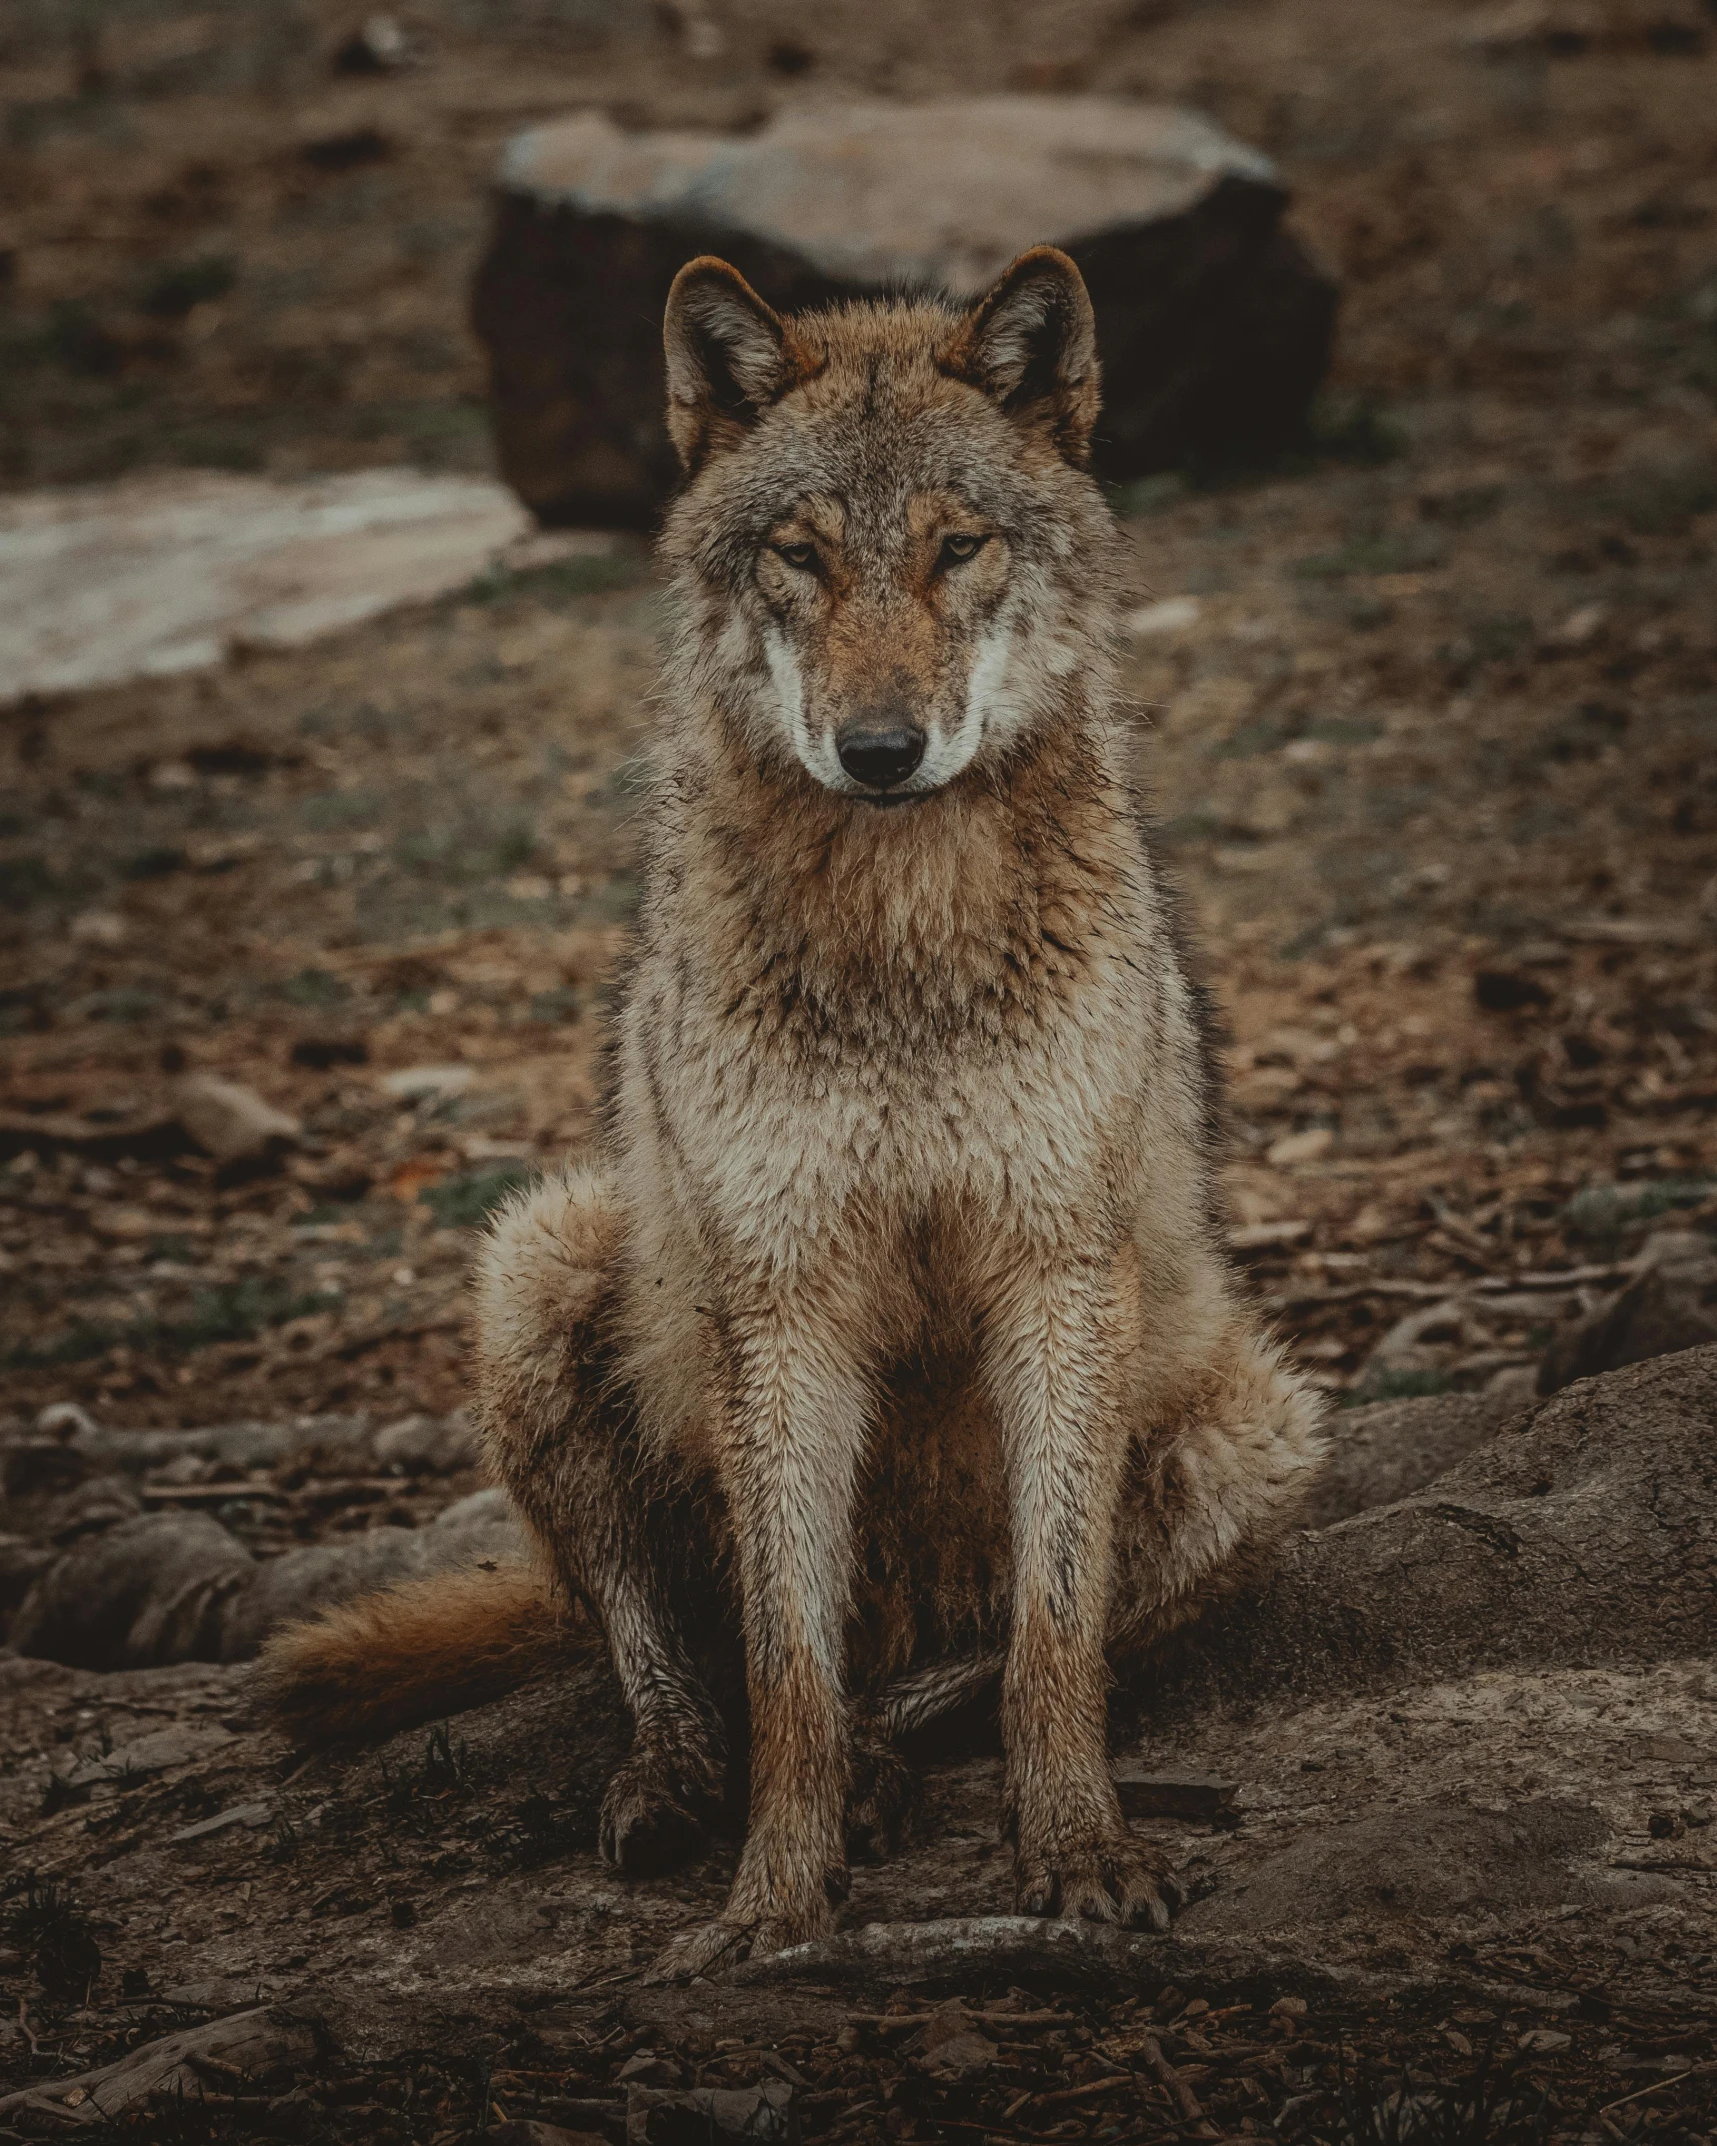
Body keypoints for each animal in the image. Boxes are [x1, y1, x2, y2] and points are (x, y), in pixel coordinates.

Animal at [261, 246, 1322, 1974]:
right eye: (801, 557)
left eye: (956, 547)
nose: (880, 750)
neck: (901, 930)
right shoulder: (785, 1296)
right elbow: (784, 1668)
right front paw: (771, 1903)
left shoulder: (1056, 1272)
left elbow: (1052, 1638)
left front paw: (1080, 1851)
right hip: (543, 1257)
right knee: (658, 1642)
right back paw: (683, 1785)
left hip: (1266, 1423)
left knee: (968, 1657)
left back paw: (903, 1759)